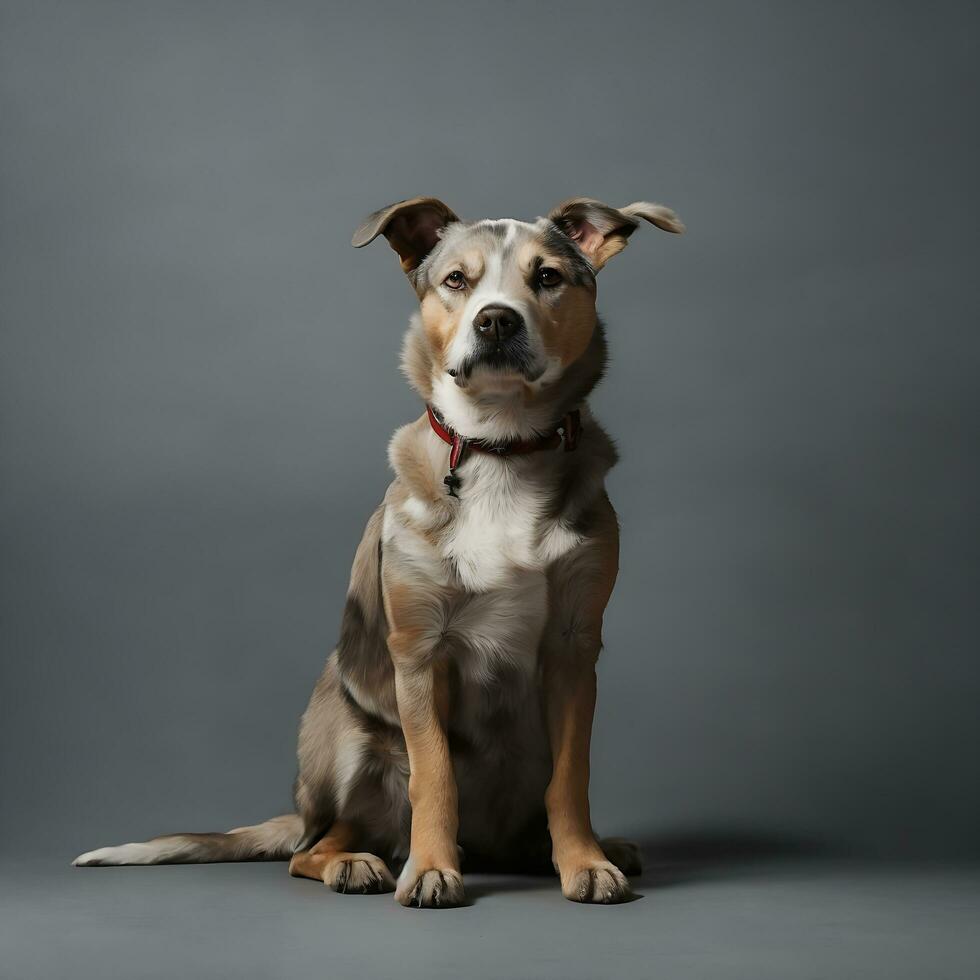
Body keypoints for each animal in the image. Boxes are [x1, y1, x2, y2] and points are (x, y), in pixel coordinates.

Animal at [74, 195, 680, 908]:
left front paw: (584, 860)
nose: (496, 320)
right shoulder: (418, 652)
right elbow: (433, 775)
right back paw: (357, 863)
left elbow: (571, 777)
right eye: (456, 280)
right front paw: (431, 869)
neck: (501, 449)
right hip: (347, 738)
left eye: (548, 277)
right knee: (316, 845)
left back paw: (562, 850)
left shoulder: (574, 648)